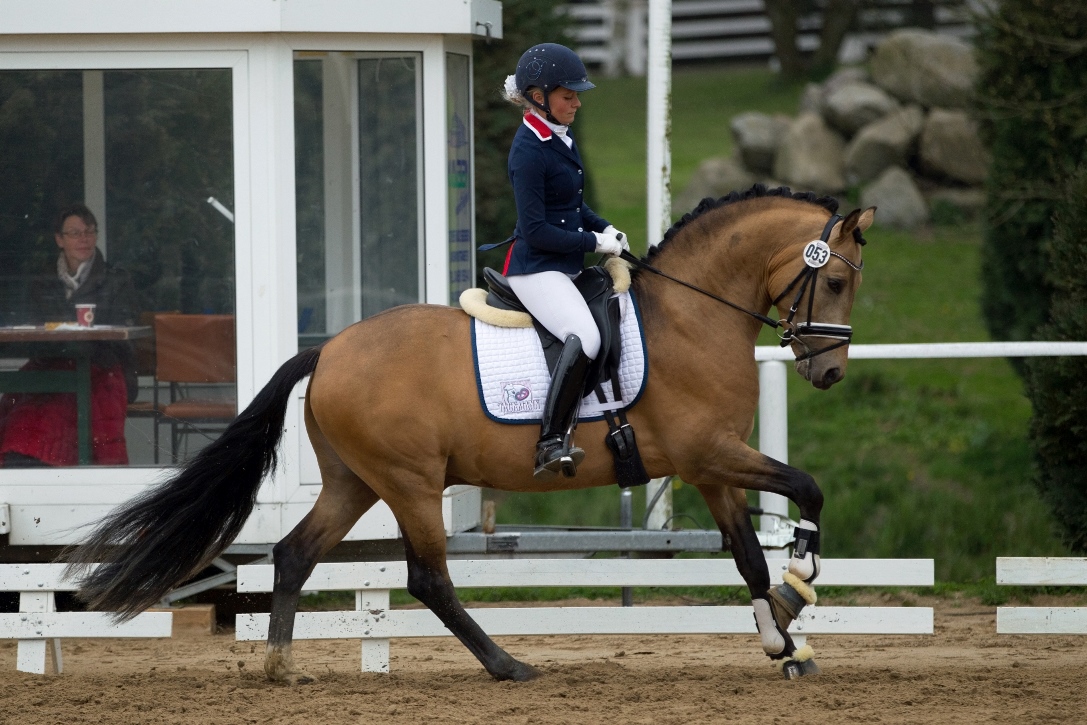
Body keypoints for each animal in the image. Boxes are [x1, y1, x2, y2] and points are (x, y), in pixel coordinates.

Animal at [63, 184, 873, 682]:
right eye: (834, 282)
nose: (832, 372)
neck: (691, 316)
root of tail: (329, 350)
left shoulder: (710, 466)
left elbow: (747, 556)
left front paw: (782, 639)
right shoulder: (711, 453)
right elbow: (807, 489)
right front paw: (801, 581)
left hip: (355, 482)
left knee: (294, 555)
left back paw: (281, 666)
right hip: (411, 482)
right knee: (428, 579)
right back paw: (506, 664)